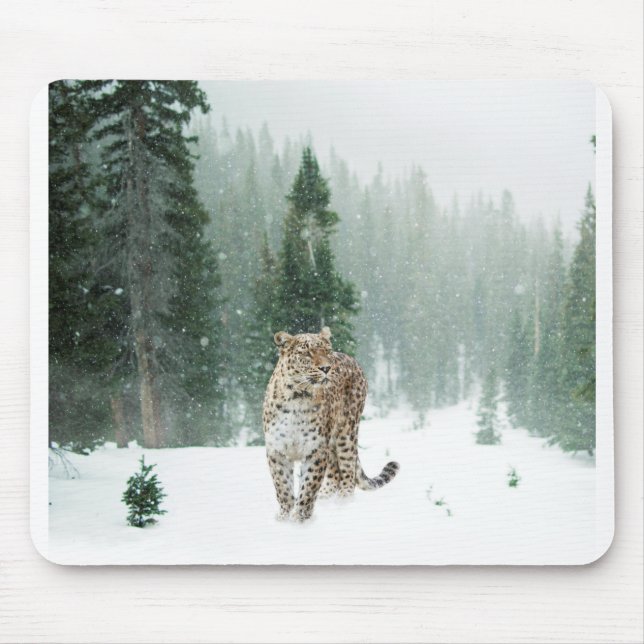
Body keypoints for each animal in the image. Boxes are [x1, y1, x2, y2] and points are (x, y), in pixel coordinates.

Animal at [263, 326, 399, 522]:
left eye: (326, 351)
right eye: (307, 352)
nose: (326, 368)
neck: (298, 397)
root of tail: (351, 359)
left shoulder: (316, 449)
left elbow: (309, 486)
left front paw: (300, 518)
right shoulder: (277, 450)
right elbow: (282, 486)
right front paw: (284, 517)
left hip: (346, 432)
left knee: (348, 469)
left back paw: (343, 501)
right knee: (335, 472)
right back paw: (326, 498)